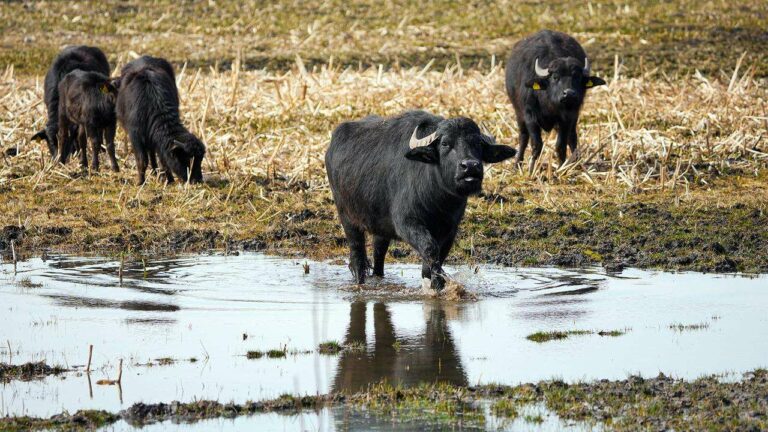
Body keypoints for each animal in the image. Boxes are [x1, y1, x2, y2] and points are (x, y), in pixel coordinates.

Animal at [324, 109, 516, 292]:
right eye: (445, 143)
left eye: (477, 144)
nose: (470, 166)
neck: (439, 201)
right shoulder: (406, 223)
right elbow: (430, 249)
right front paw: (438, 283)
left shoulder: (449, 231)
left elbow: (435, 258)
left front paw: (433, 282)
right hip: (348, 218)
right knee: (358, 258)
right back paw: (359, 283)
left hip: (381, 227)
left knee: (379, 254)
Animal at [504, 29, 608, 171]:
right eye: (555, 77)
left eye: (577, 77)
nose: (569, 94)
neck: (548, 104)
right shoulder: (529, 116)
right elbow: (536, 144)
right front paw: (531, 169)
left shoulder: (567, 118)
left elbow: (561, 145)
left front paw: (561, 167)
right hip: (518, 113)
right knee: (523, 137)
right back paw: (517, 164)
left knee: (572, 137)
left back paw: (577, 162)